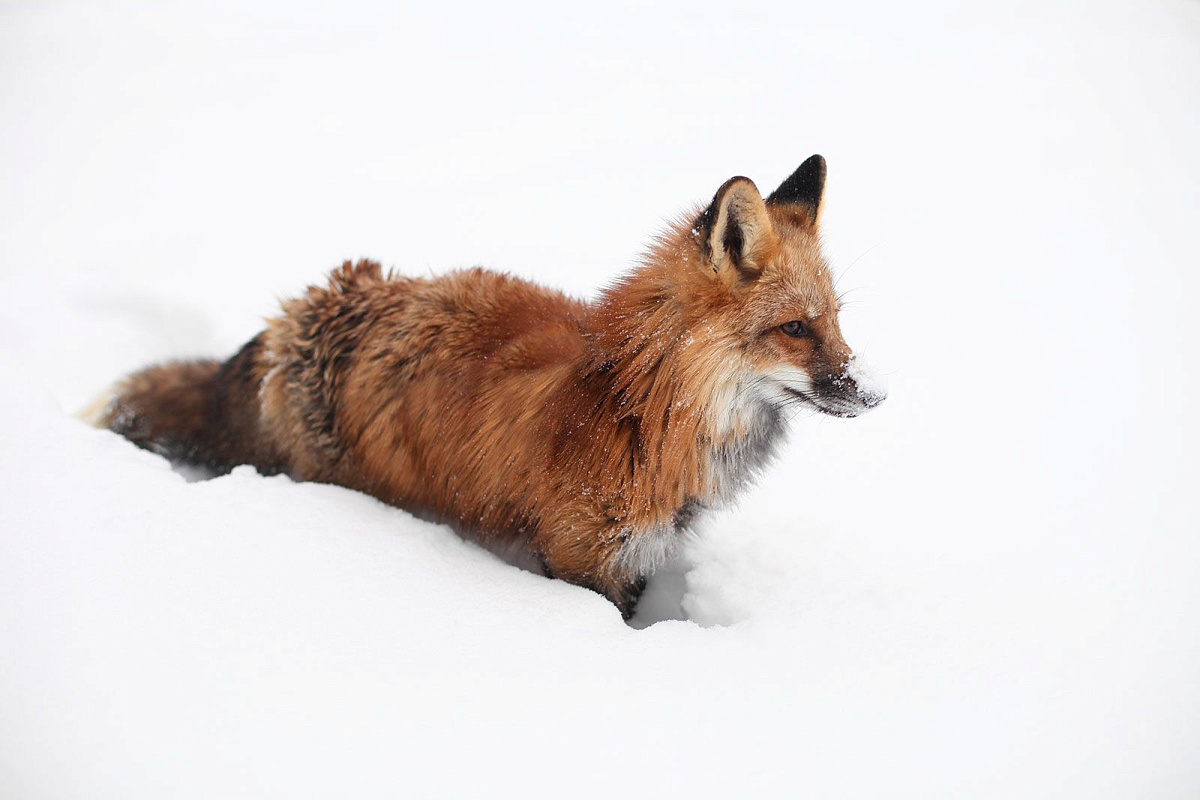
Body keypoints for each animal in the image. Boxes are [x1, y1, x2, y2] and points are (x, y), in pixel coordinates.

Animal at [93, 155, 883, 618]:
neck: (635, 404)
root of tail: (302, 309)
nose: (873, 395)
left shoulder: (636, 556)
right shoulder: (582, 558)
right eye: (795, 328)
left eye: (836, 320)